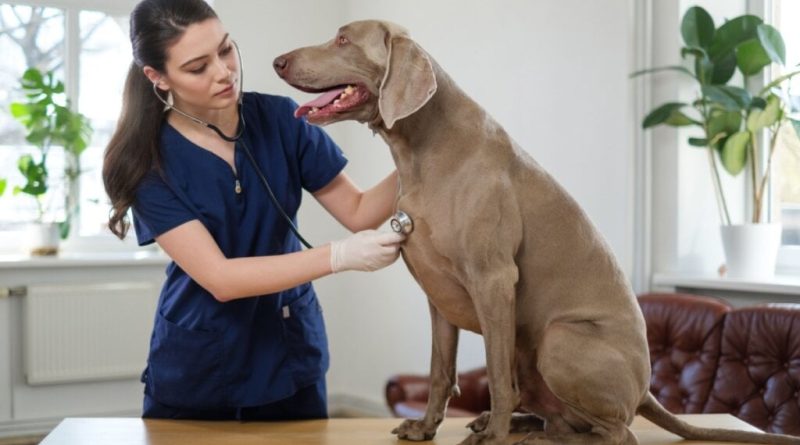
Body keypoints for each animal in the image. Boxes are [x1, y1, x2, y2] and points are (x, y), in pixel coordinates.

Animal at [274, 19, 800, 442]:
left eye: (343, 39)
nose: (277, 60)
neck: (423, 148)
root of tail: (646, 389)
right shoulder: (438, 295)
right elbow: (442, 371)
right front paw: (427, 427)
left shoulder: (494, 281)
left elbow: (495, 376)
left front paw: (495, 435)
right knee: (564, 415)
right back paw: (524, 425)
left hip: (558, 339)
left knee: (617, 431)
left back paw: (526, 431)